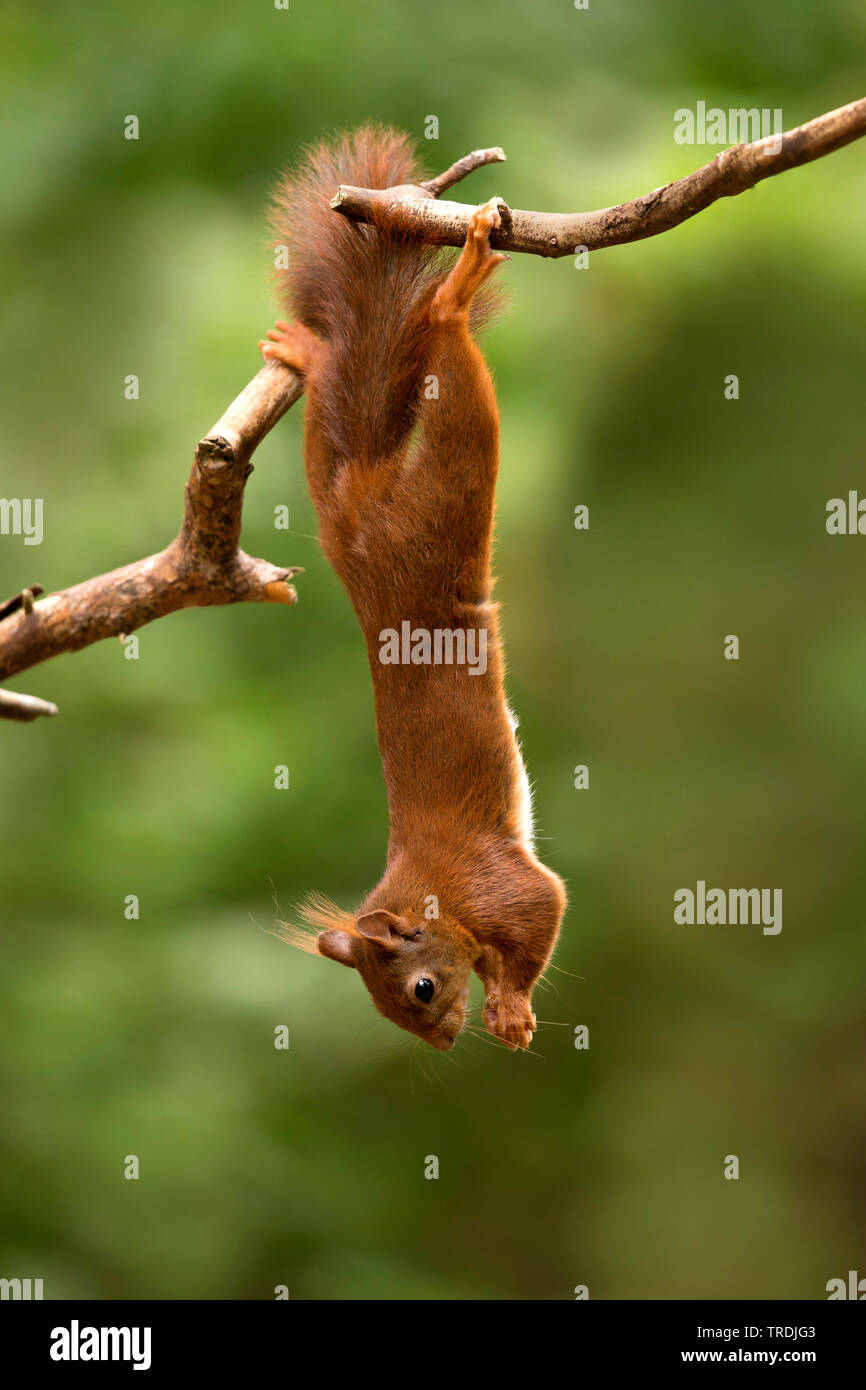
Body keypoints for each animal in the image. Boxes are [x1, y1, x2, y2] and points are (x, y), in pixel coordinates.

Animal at [260, 127, 566, 1051]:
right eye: (392, 1008)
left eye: (420, 988)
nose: (442, 1042)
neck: (433, 898)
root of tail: (365, 521)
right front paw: (505, 1005)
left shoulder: (501, 885)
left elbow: (544, 909)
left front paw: (509, 1007)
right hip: (340, 506)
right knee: (333, 430)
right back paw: (308, 353)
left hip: (443, 500)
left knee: (451, 370)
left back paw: (452, 298)